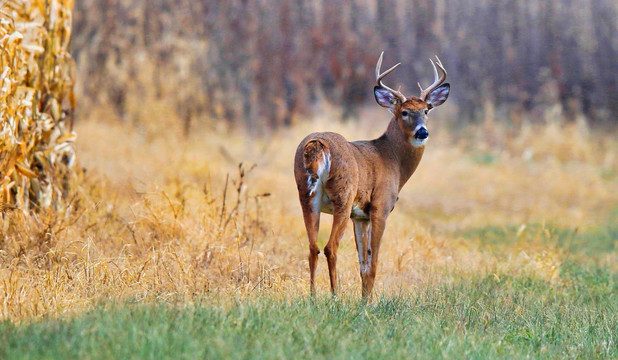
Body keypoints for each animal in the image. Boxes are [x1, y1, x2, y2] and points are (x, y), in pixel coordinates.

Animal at [294, 50, 448, 298]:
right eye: (404, 112)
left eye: (426, 110)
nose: (422, 131)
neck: (392, 159)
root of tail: (317, 144)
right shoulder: (380, 208)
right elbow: (373, 263)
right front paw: (368, 301)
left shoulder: (360, 216)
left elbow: (363, 264)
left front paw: (364, 299)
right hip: (343, 196)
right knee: (330, 247)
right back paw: (335, 297)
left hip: (307, 196)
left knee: (312, 247)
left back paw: (313, 297)